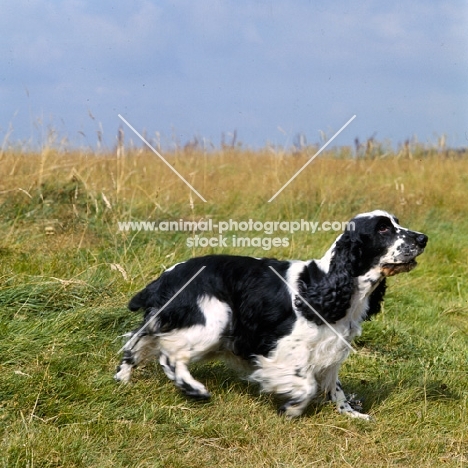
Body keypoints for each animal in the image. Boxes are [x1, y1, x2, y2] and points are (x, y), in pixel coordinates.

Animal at [114, 210, 428, 418]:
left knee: (137, 343)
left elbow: (335, 387)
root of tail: (167, 276)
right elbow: (307, 384)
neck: (328, 284)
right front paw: (292, 409)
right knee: (169, 355)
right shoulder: (284, 347)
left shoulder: (331, 348)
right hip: (213, 318)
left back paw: (123, 380)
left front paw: (351, 413)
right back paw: (195, 390)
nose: (423, 238)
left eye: (396, 223)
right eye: (383, 229)